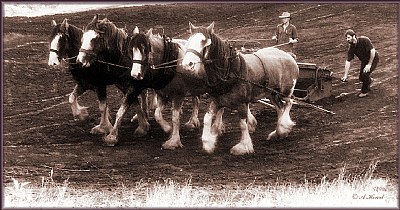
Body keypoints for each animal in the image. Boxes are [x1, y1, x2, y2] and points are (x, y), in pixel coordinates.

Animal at [180, 22, 298, 155]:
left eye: (203, 41)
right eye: (189, 41)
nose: (187, 64)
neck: (229, 72)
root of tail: (288, 55)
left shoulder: (242, 103)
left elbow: (242, 124)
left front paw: (243, 146)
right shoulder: (217, 101)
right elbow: (206, 118)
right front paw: (208, 143)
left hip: (285, 92)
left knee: (289, 103)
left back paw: (283, 127)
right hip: (272, 94)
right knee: (280, 108)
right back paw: (278, 132)